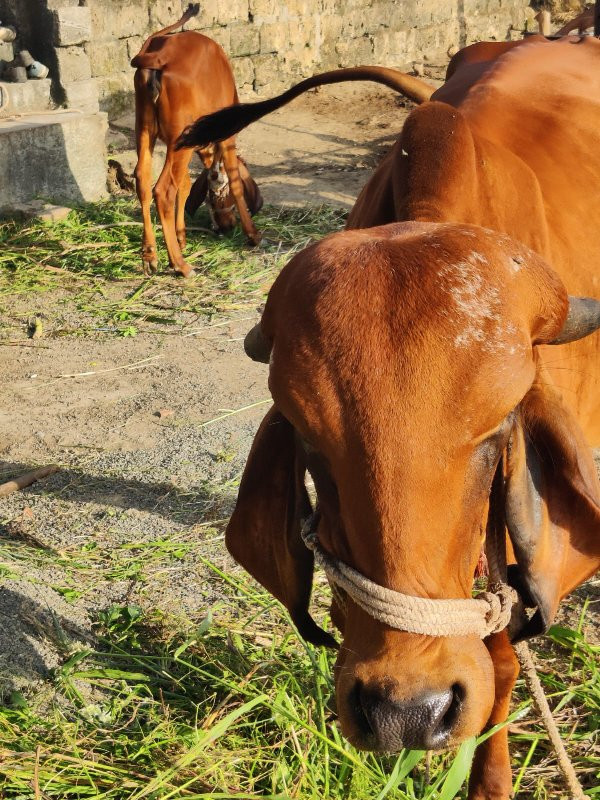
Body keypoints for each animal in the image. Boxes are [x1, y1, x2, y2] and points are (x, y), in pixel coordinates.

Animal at [131, 5, 262, 278]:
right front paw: (253, 234)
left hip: (145, 130)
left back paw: (150, 254)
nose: (225, 226)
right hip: (178, 140)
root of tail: (159, 57)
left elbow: (186, 184)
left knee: (143, 180)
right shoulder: (226, 136)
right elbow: (234, 181)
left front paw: (180, 237)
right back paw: (179, 264)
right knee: (163, 191)